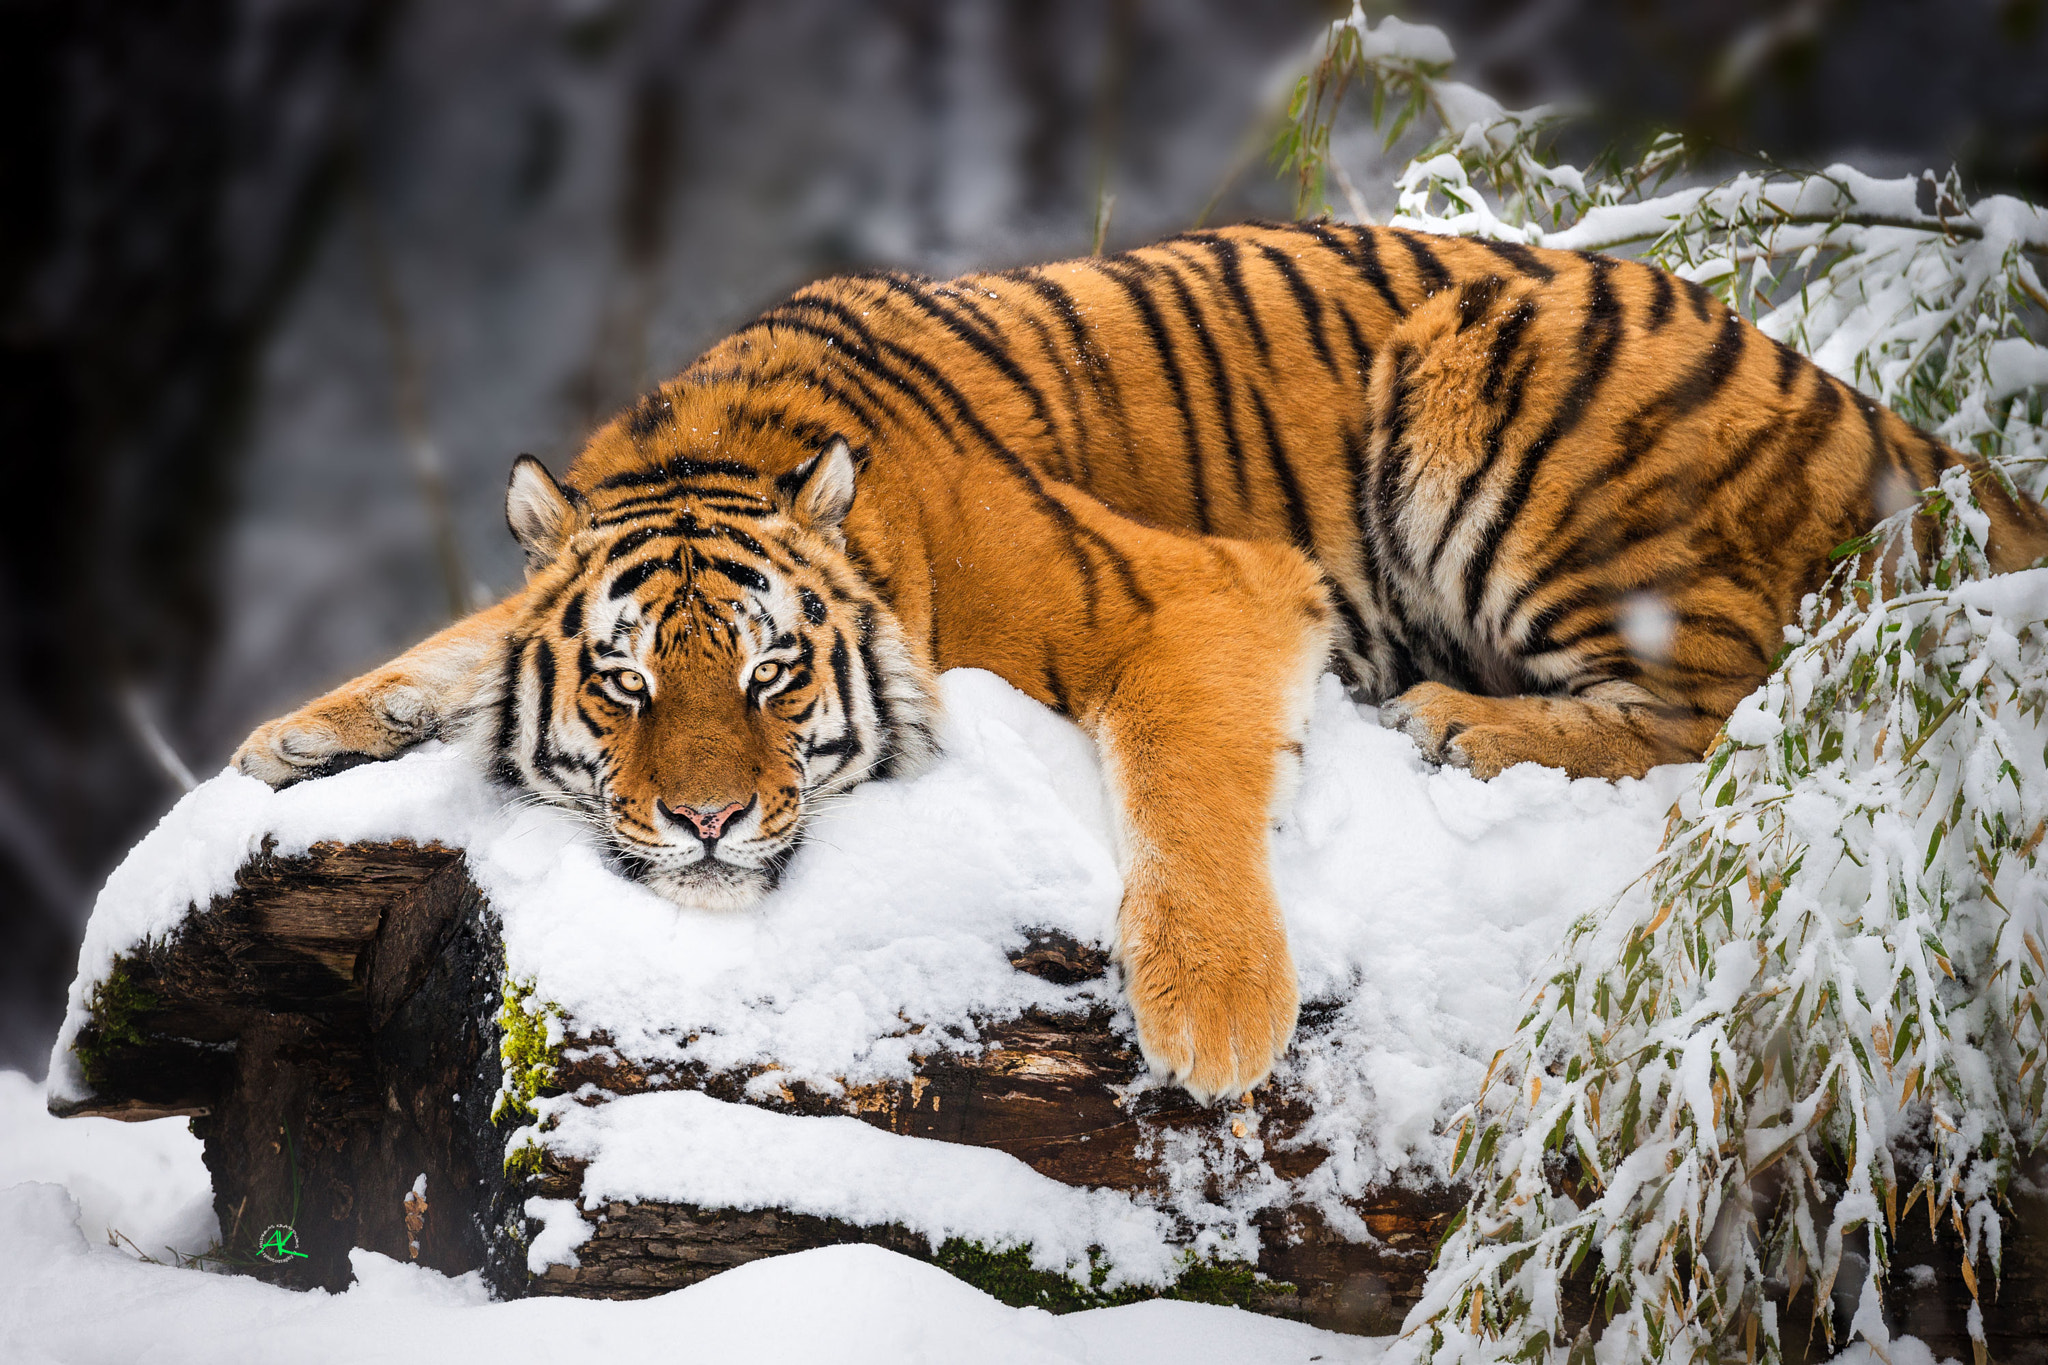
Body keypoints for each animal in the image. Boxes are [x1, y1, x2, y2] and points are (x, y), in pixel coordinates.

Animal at [228, 222, 2048, 1096]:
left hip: (1500, 398)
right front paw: (298, 737)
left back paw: (1462, 723)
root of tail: (1867, 408)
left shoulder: (1194, 592)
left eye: (769, 679)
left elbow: (1183, 783)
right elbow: (463, 638)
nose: (703, 824)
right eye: (622, 684)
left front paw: (1216, 1014)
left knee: (1734, 701)